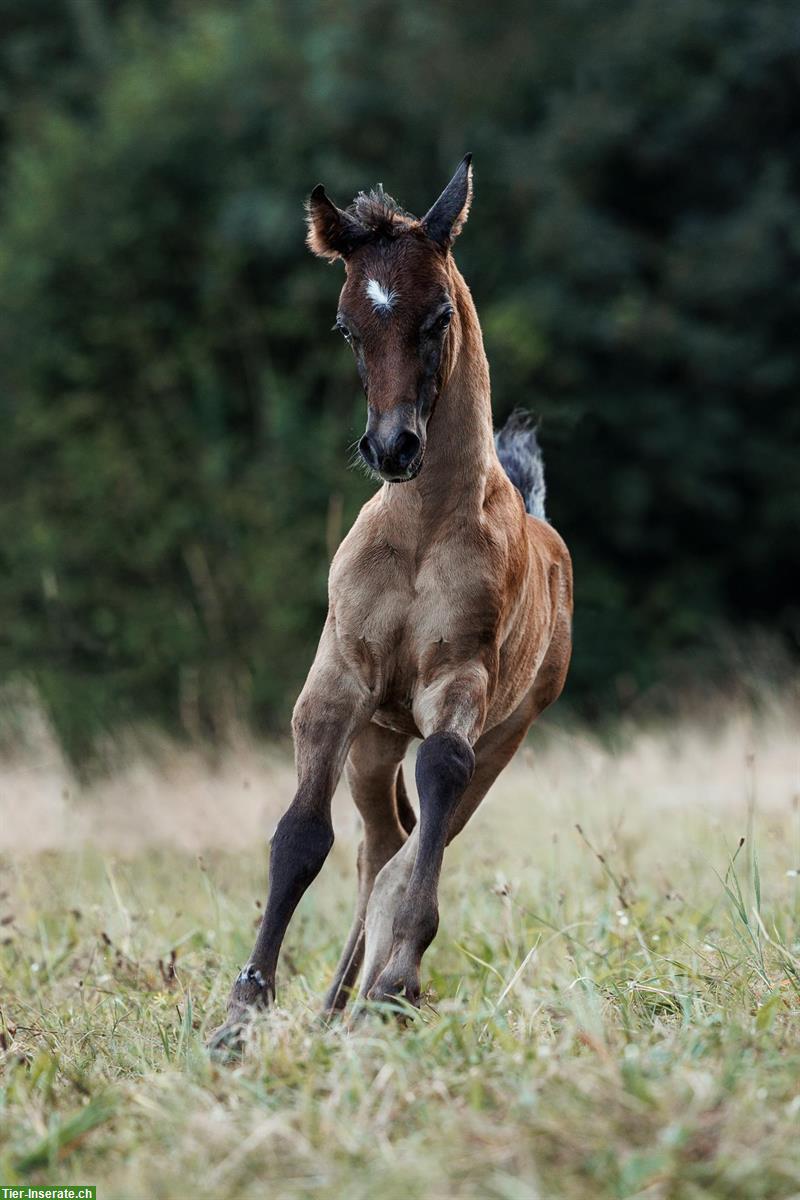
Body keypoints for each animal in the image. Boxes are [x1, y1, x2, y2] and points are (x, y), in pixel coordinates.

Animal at [215, 157, 573, 1041]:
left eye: (437, 315)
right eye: (347, 326)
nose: (392, 447)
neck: (420, 530)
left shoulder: (460, 683)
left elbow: (439, 781)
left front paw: (398, 982)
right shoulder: (337, 683)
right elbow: (300, 838)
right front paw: (241, 1014)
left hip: (508, 731)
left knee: (411, 843)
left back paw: (372, 994)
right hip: (376, 739)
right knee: (381, 843)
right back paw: (333, 1008)